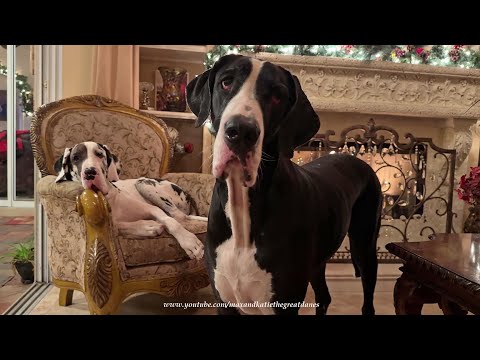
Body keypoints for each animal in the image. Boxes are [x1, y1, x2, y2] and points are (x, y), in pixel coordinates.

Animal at [54, 142, 204, 260]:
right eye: (75, 158)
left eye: (99, 154)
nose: (90, 172)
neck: (107, 200)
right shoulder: (113, 224)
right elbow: (117, 226)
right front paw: (147, 226)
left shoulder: (153, 209)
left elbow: (171, 222)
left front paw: (189, 242)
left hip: (143, 183)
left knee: (179, 217)